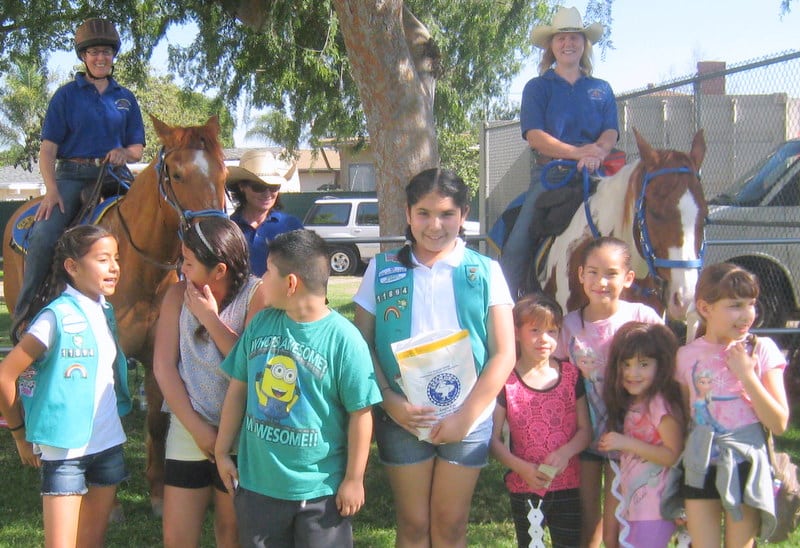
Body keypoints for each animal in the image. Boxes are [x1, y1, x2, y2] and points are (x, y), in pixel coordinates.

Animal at [3, 113, 228, 512]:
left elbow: (155, 423)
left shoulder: (157, 358)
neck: (138, 269)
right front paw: (109, 504)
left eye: (223, 173)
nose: (214, 237)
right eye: (177, 173)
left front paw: (156, 494)